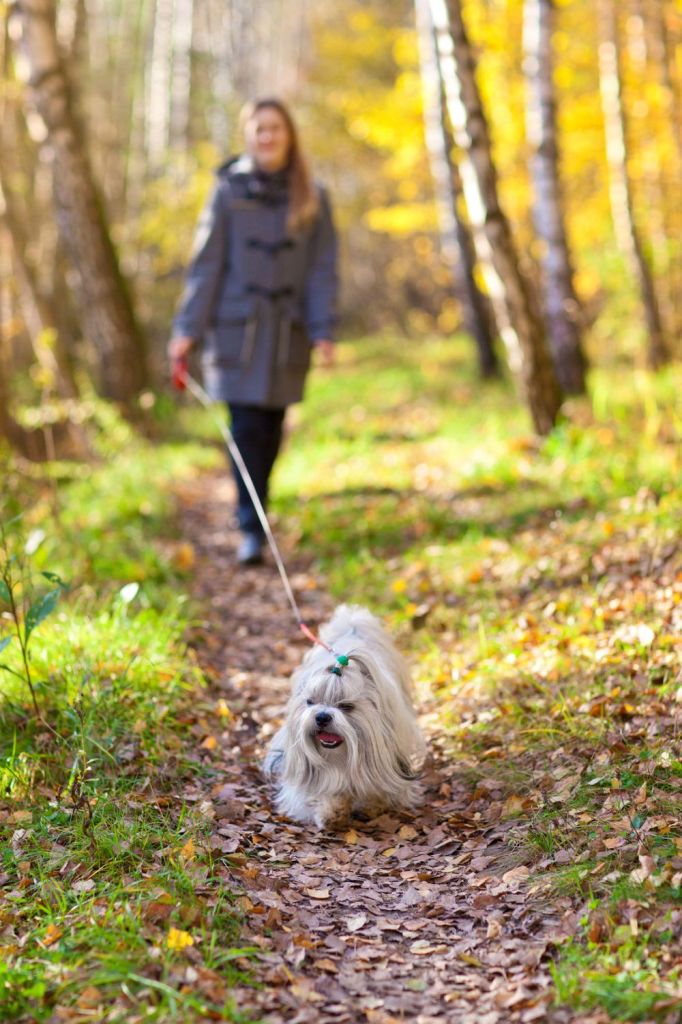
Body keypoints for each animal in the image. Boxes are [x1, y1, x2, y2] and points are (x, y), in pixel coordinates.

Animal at [262, 602, 421, 827]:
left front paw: (371, 803)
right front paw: (331, 810)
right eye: (310, 702)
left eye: (346, 706)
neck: (340, 758)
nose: (322, 716)